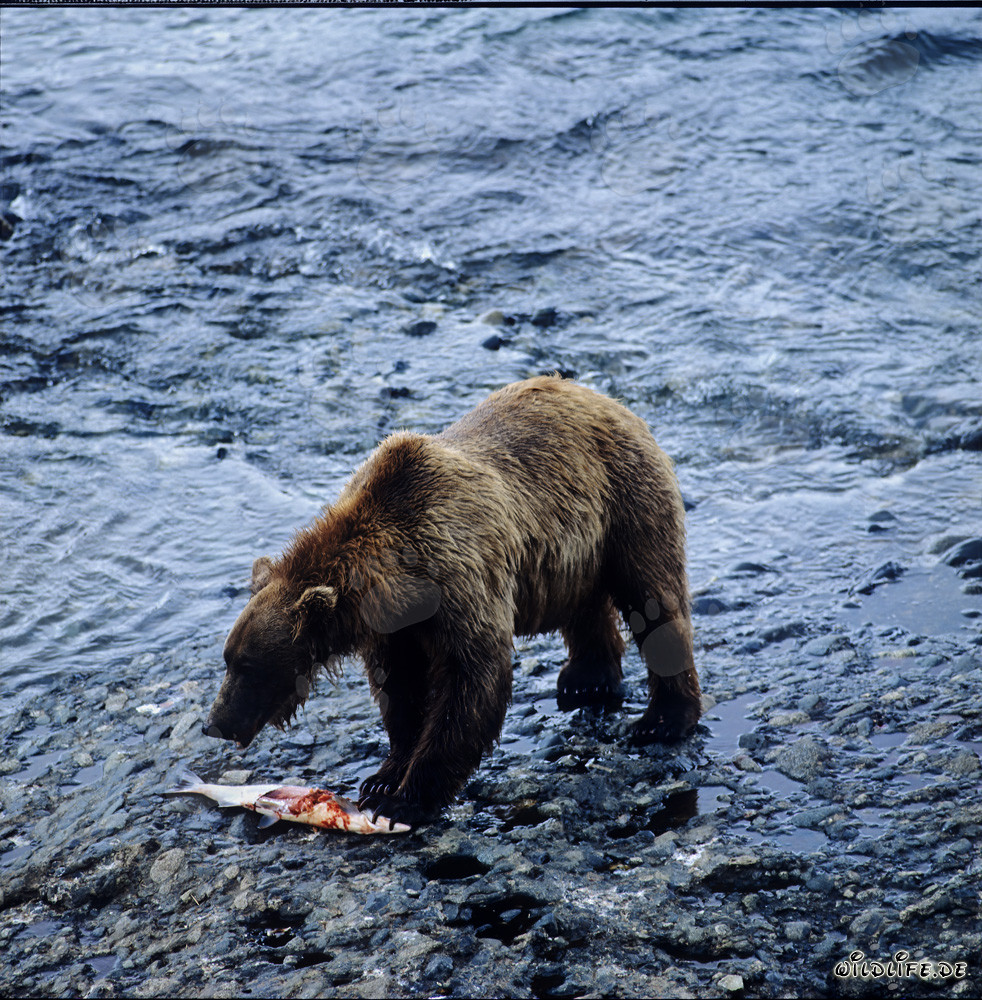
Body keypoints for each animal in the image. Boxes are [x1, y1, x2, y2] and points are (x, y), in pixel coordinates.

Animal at [203, 375, 701, 826]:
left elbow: (472, 679)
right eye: (228, 659)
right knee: (587, 606)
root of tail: (606, 399)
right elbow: (400, 689)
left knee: (654, 602)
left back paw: (663, 718)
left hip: (626, 499)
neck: (399, 583)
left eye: (248, 666)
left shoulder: (459, 578)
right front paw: (383, 777)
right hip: (574, 550)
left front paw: (404, 800)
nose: (215, 723)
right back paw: (587, 681)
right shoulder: (393, 628)